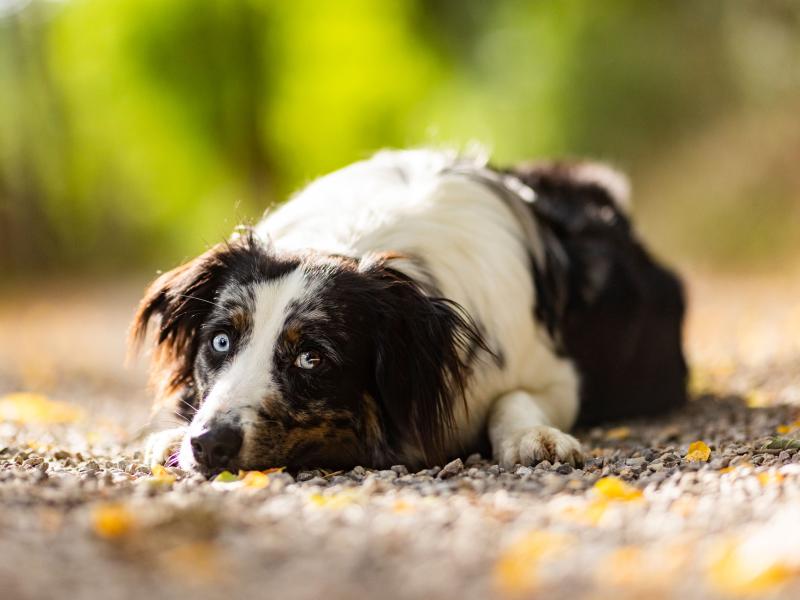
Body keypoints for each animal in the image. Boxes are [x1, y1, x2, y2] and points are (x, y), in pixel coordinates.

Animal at [131, 148, 688, 476]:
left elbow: (516, 398)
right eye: (221, 341)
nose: (209, 445)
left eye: (313, 358)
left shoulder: (558, 375)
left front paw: (535, 437)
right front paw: (172, 436)